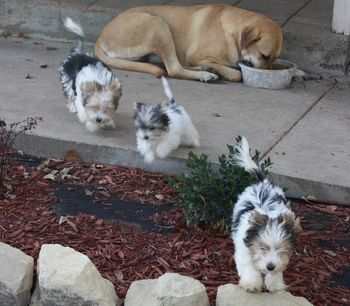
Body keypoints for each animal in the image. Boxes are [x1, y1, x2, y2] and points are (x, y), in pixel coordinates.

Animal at [94, 4, 284, 82]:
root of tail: (100, 37)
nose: (267, 73)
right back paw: (206, 75)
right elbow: (237, 73)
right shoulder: (199, 56)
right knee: (174, 69)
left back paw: (205, 71)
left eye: (273, 59)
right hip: (158, 24)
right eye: (264, 55)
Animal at [231, 137, 302, 292]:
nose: (270, 266)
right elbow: (249, 265)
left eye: (281, 249)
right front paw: (251, 283)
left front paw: (274, 283)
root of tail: (262, 182)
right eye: (262, 248)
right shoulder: (245, 249)